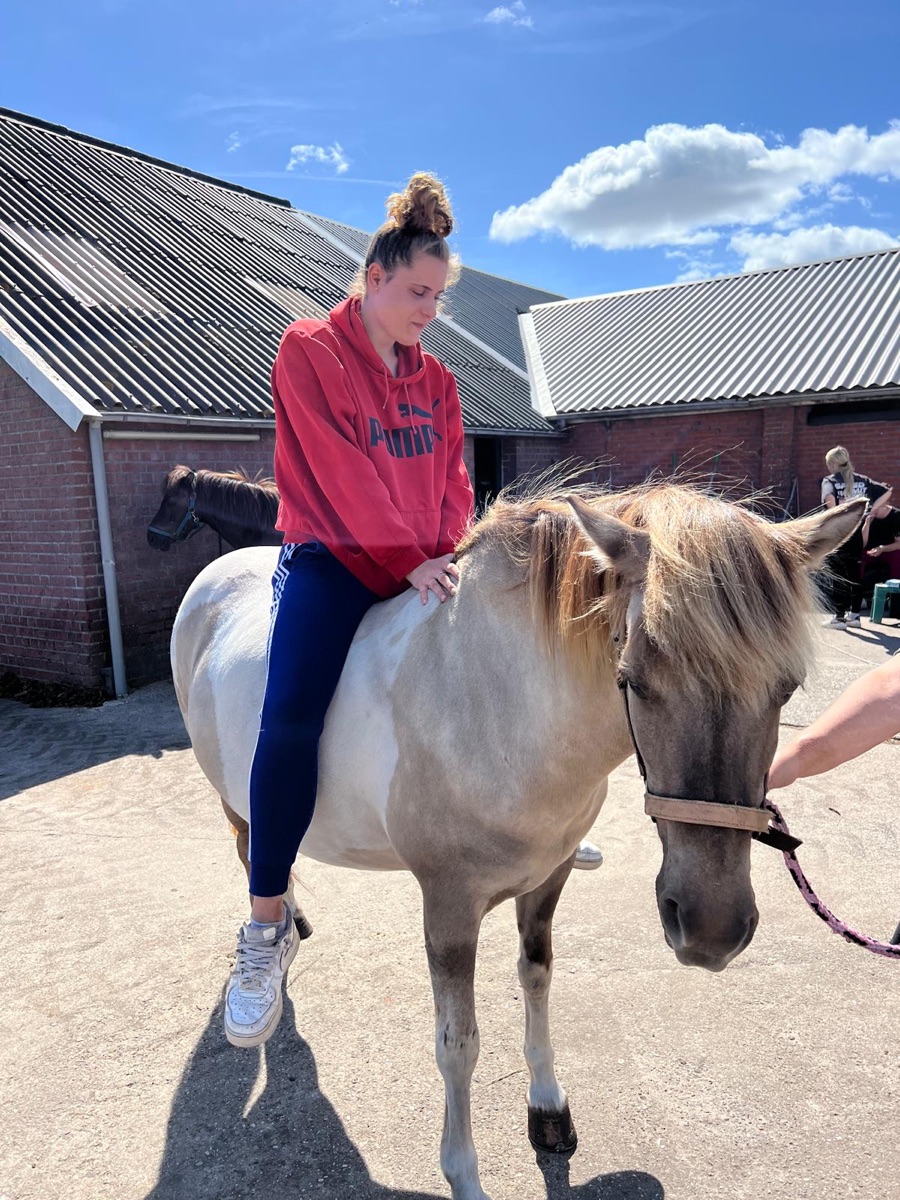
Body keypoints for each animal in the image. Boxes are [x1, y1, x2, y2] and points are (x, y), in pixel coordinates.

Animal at [170, 481, 863, 1200]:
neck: (496, 703)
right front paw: (465, 1175)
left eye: (787, 688)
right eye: (633, 679)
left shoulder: (547, 881)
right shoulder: (449, 909)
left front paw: (548, 1105)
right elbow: (459, 1044)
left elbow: (537, 979)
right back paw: (267, 953)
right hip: (237, 797)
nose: (711, 930)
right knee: (254, 848)